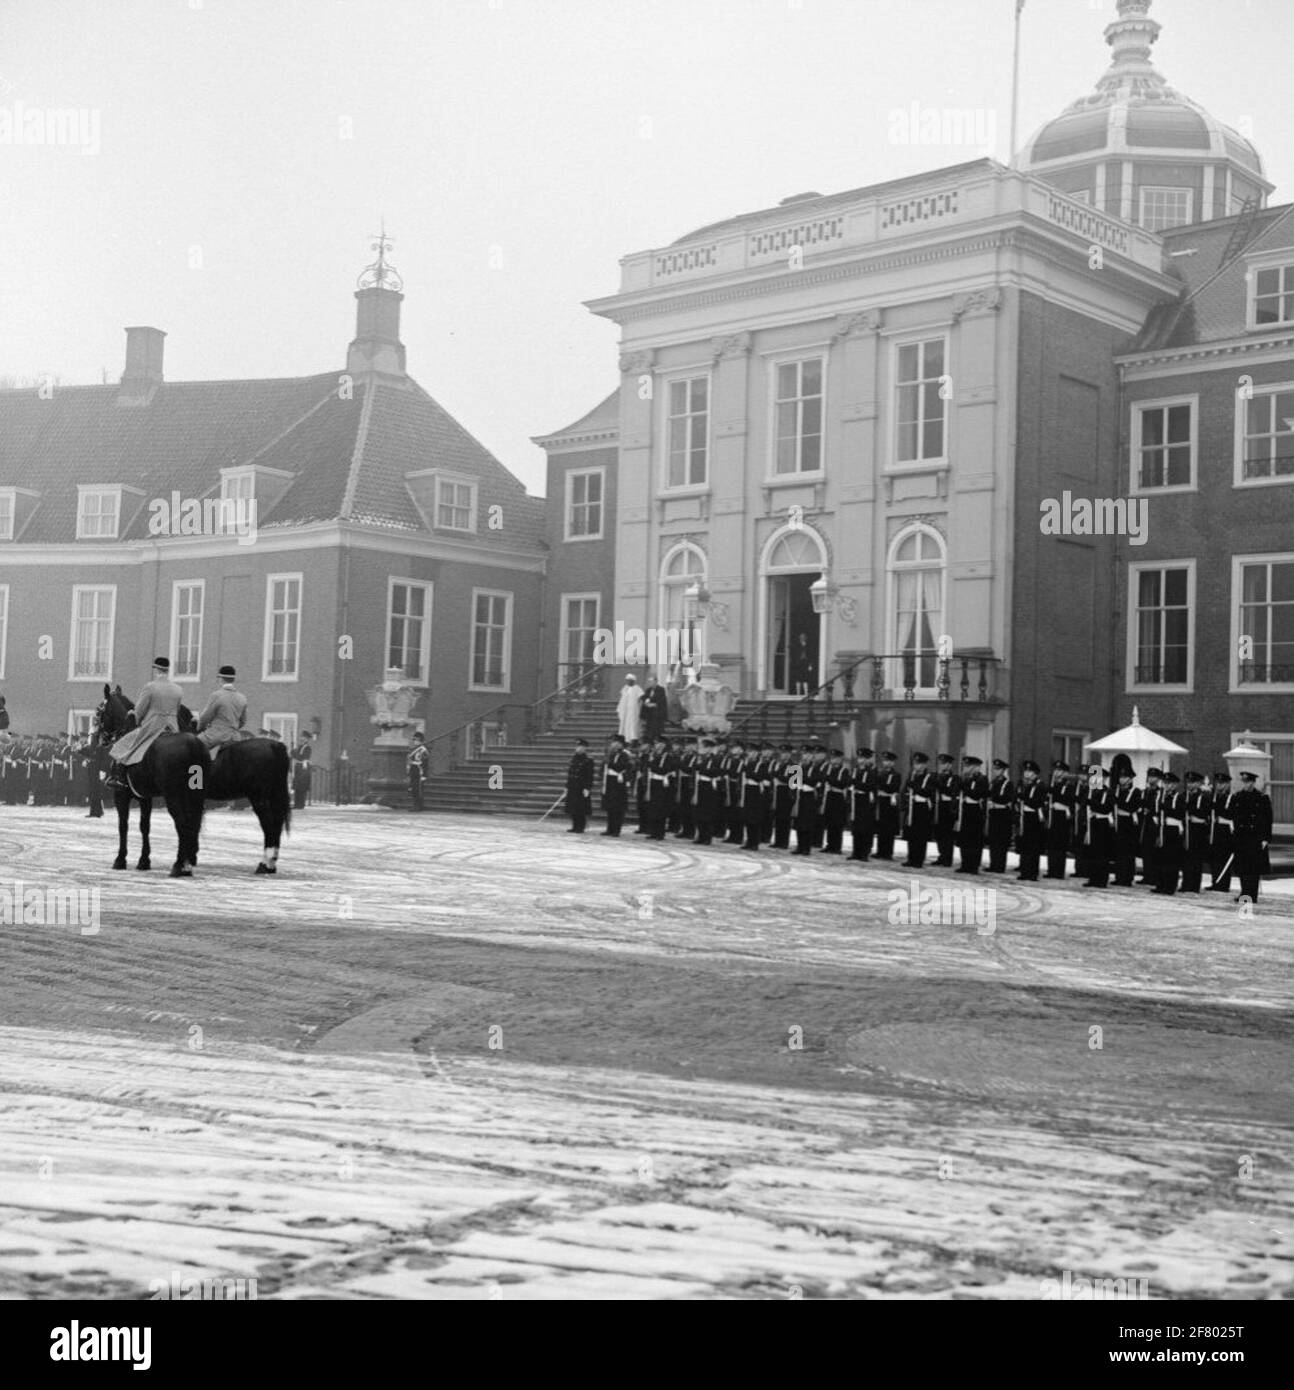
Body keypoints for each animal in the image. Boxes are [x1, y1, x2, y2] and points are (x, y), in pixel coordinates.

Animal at [97, 683, 207, 878]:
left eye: (100, 711)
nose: (100, 738)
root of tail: (193, 743)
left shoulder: (121, 795)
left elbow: (123, 826)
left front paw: (120, 859)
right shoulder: (145, 797)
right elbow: (144, 826)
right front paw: (144, 861)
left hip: (173, 796)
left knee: (182, 823)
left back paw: (179, 865)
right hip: (194, 795)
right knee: (192, 824)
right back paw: (186, 864)